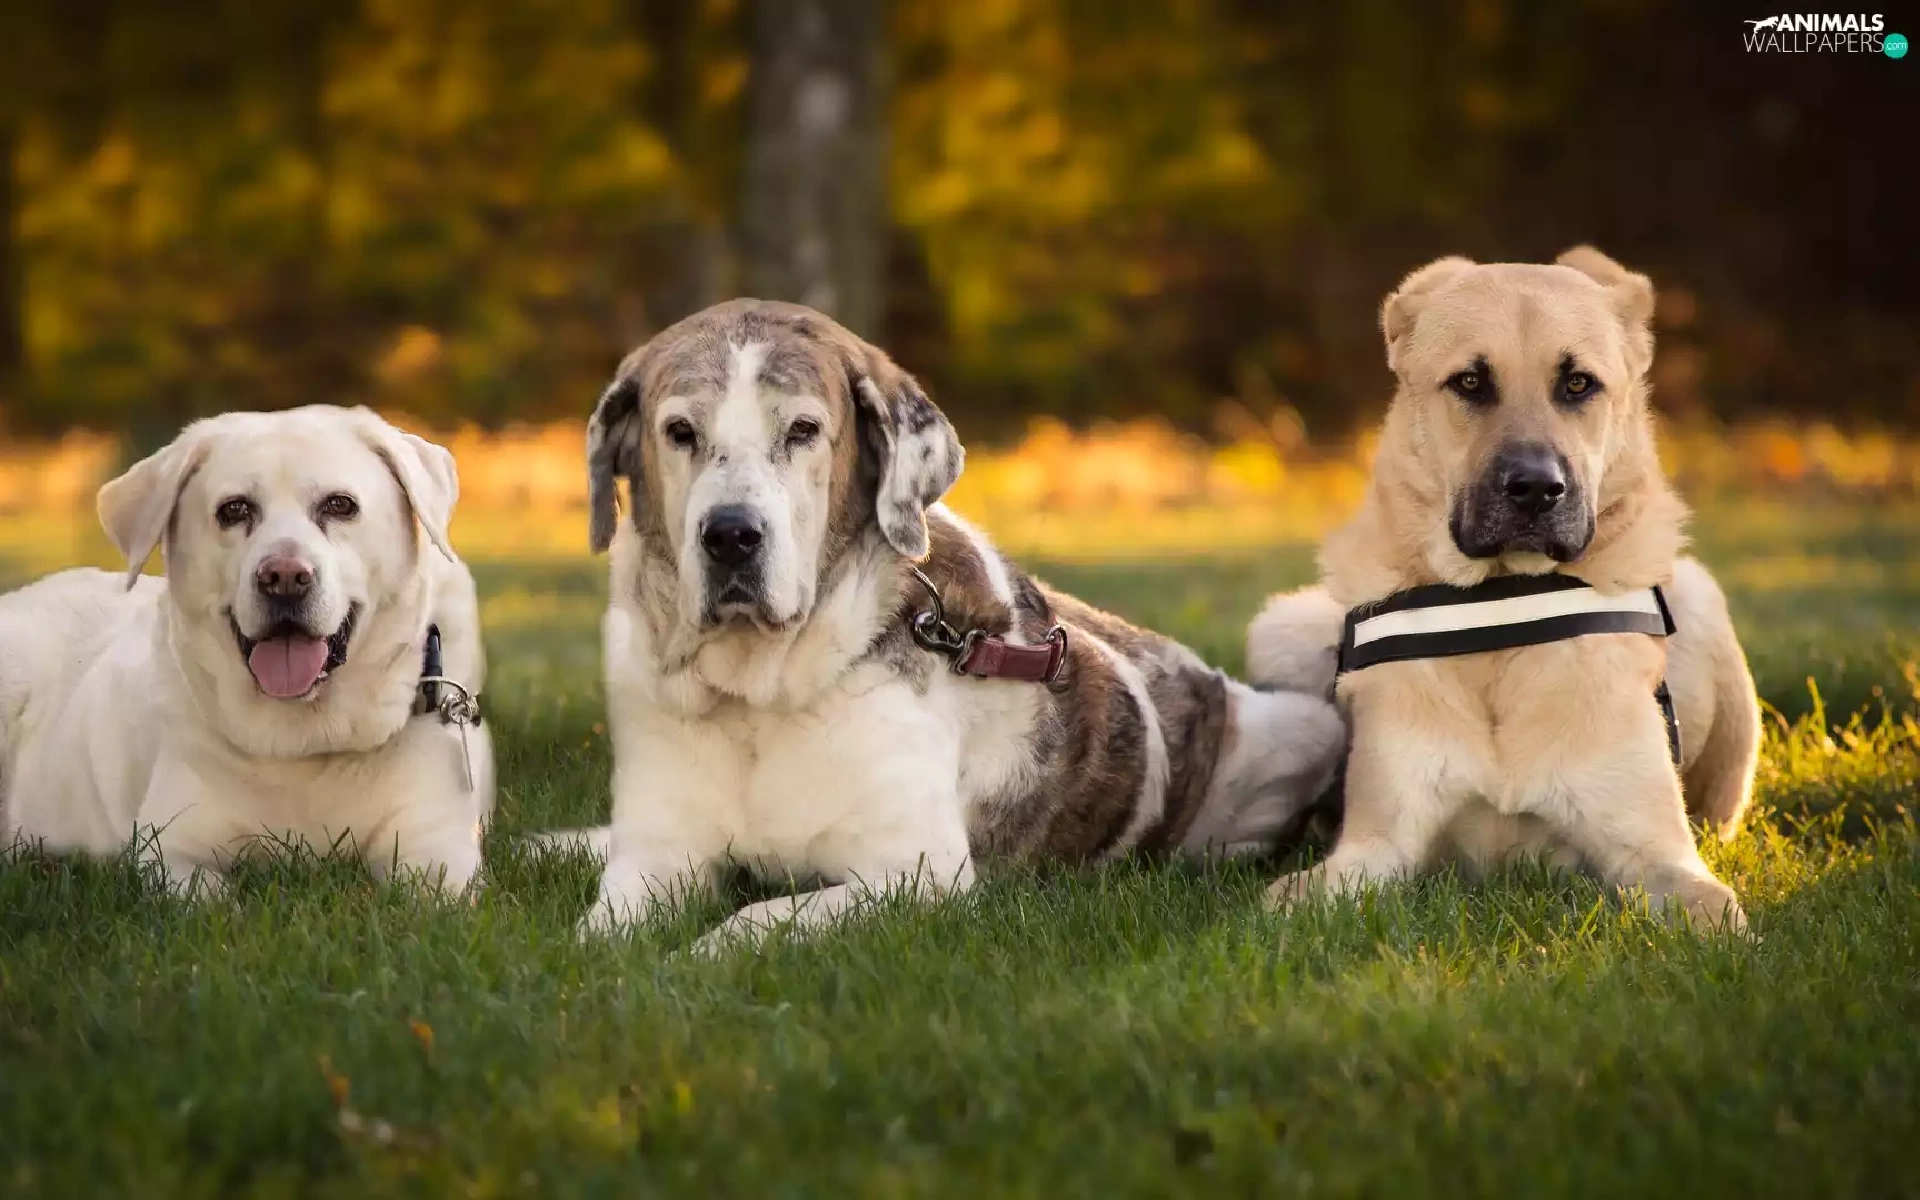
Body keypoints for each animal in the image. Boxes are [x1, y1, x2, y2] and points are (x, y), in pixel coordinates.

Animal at [0, 406, 494, 893]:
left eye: (340, 505)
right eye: (234, 509)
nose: (284, 577)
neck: (306, 742)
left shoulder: (436, 849)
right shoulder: (172, 853)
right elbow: (212, 897)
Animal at [571, 299, 1344, 949]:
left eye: (802, 431)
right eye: (680, 432)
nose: (731, 535)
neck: (756, 698)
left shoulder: (913, 875)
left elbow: (755, 918)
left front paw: (695, 954)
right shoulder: (656, 855)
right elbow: (597, 933)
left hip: (1294, 731)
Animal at [1246, 248, 1759, 931]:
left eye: (1578, 384)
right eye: (1470, 383)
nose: (1535, 490)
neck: (1503, 602)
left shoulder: (1656, 852)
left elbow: (1716, 916)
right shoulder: (1373, 850)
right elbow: (1280, 904)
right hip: (1283, 628)